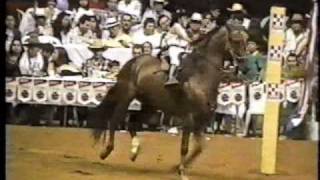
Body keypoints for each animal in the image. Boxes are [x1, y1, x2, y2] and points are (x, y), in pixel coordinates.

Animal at [89, 24, 246, 179]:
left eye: (246, 39)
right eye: (236, 40)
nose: (243, 60)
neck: (200, 76)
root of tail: (134, 62)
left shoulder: (201, 120)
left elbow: (200, 147)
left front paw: (176, 168)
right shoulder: (189, 118)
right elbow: (185, 147)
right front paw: (181, 171)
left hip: (150, 106)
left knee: (132, 122)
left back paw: (134, 151)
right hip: (126, 97)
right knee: (115, 121)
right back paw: (106, 151)